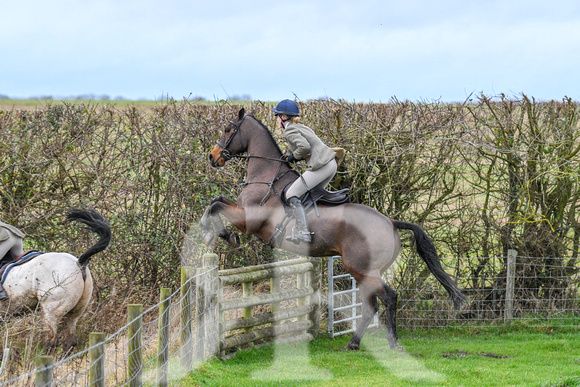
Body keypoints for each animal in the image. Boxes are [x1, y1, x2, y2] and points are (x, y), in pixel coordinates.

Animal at [202, 108, 464, 352]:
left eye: (227, 129)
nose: (212, 157)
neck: (266, 175)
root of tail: (390, 221)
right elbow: (217, 199)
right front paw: (216, 232)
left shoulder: (249, 221)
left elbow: (215, 205)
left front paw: (217, 234)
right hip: (367, 271)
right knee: (371, 306)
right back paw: (353, 343)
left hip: (361, 268)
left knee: (388, 297)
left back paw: (392, 342)